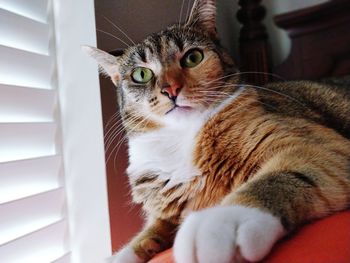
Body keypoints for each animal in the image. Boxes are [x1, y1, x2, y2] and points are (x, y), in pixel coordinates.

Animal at [82, 0, 350, 263]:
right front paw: (120, 256)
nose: (171, 89)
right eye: (141, 74)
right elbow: (146, 235)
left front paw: (220, 221)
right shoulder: (166, 212)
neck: (181, 138)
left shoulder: (313, 144)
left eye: (193, 57)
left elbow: (276, 175)